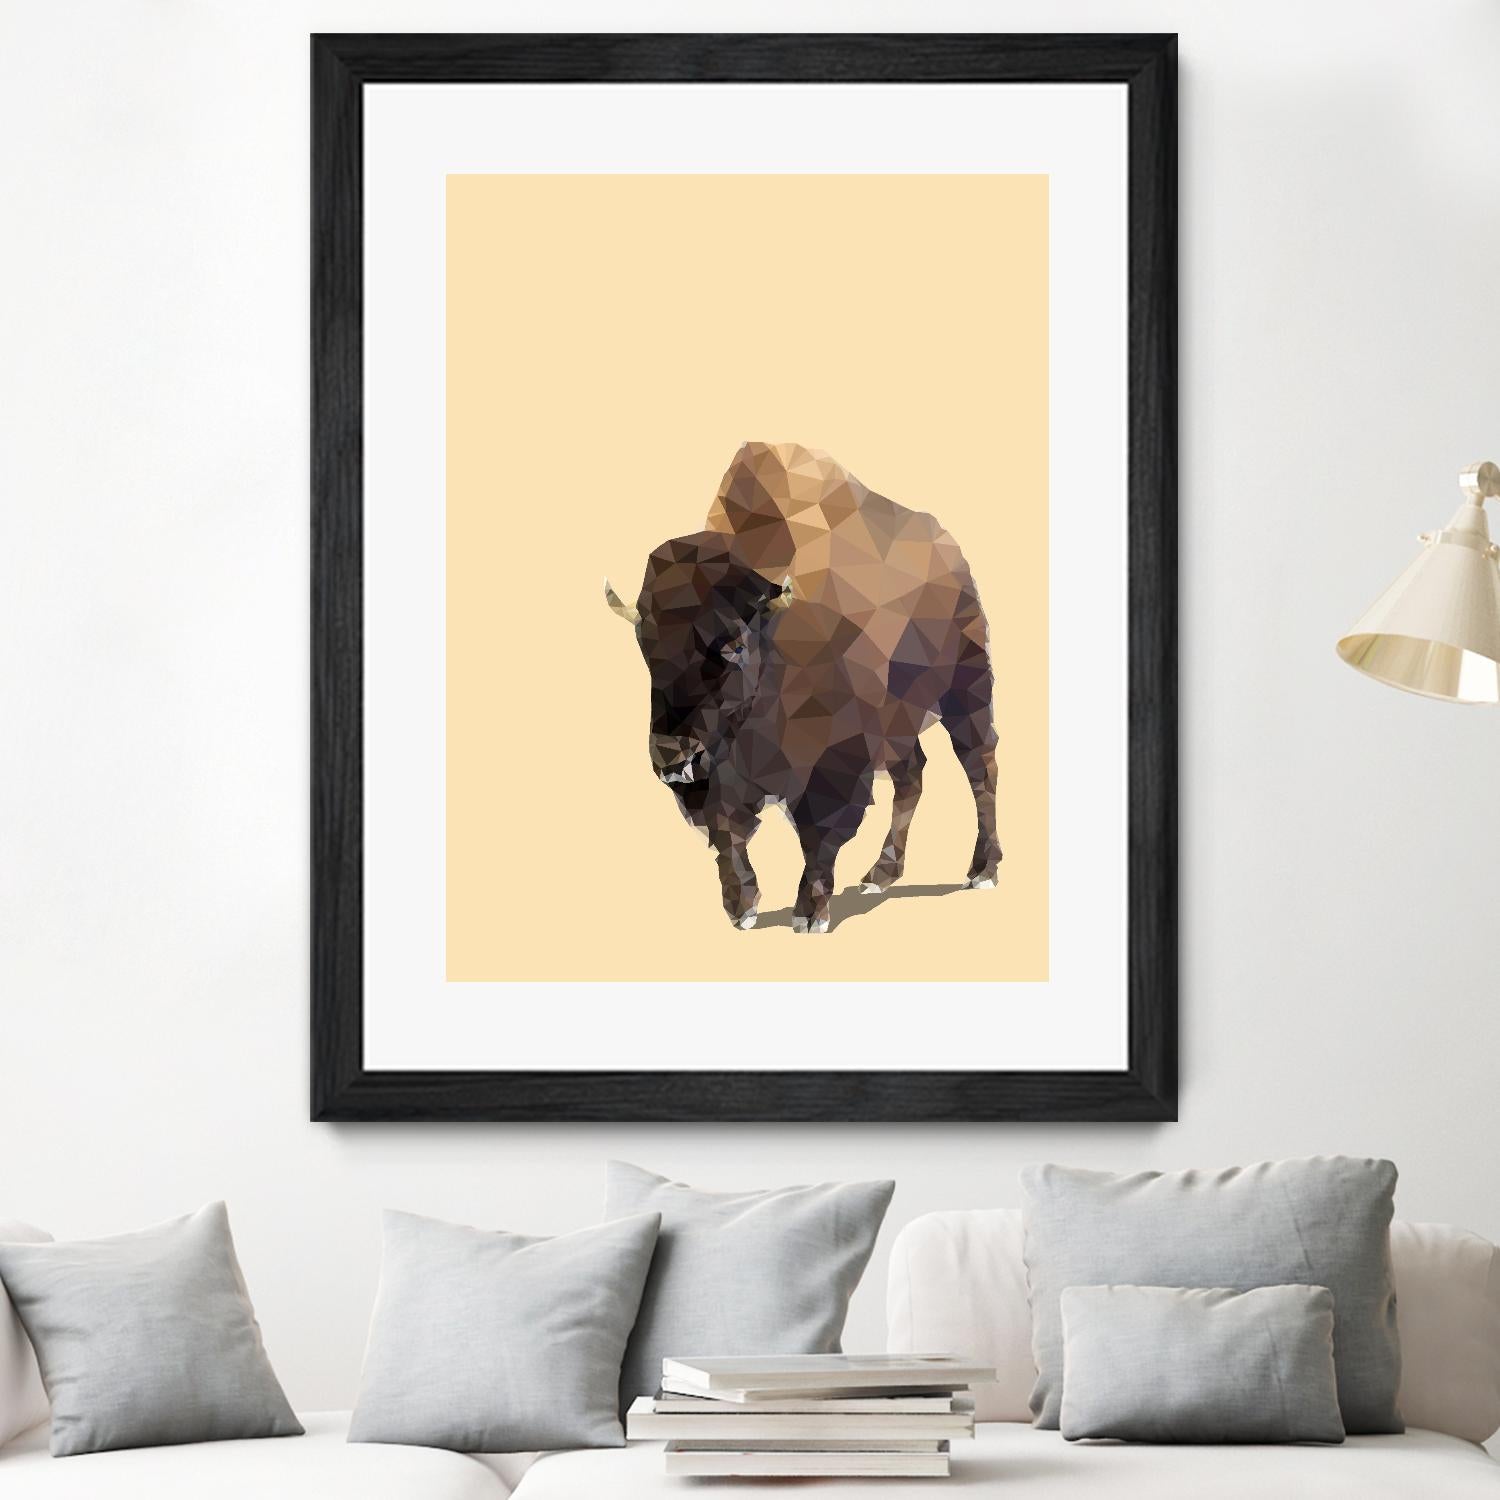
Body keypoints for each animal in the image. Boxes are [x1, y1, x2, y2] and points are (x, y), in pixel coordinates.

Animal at [606, 442, 1000, 933]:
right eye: (645, 643)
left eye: (734, 644)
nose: (673, 758)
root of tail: (950, 551)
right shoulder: (720, 782)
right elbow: (727, 836)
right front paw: (742, 908)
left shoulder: (837, 763)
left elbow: (819, 836)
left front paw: (809, 915)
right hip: (900, 721)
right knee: (912, 777)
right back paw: (881, 874)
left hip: (967, 691)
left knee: (979, 766)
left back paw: (982, 870)